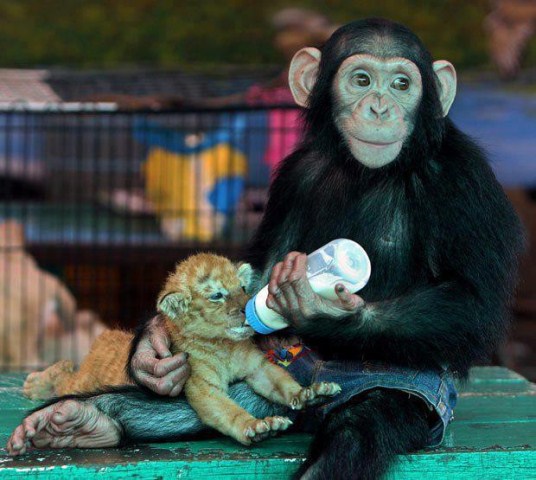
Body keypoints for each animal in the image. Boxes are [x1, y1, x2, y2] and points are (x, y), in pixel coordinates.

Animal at [7, 17, 524, 480]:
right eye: (361, 79)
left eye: (402, 83)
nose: (380, 107)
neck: (368, 171)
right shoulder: (295, 173)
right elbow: (264, 259)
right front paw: (151, 348)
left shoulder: (464, 180)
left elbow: (472, 304)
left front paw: (320, 308)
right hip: (267, 372)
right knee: (174, 407)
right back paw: (78, 419)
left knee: (357, 431)